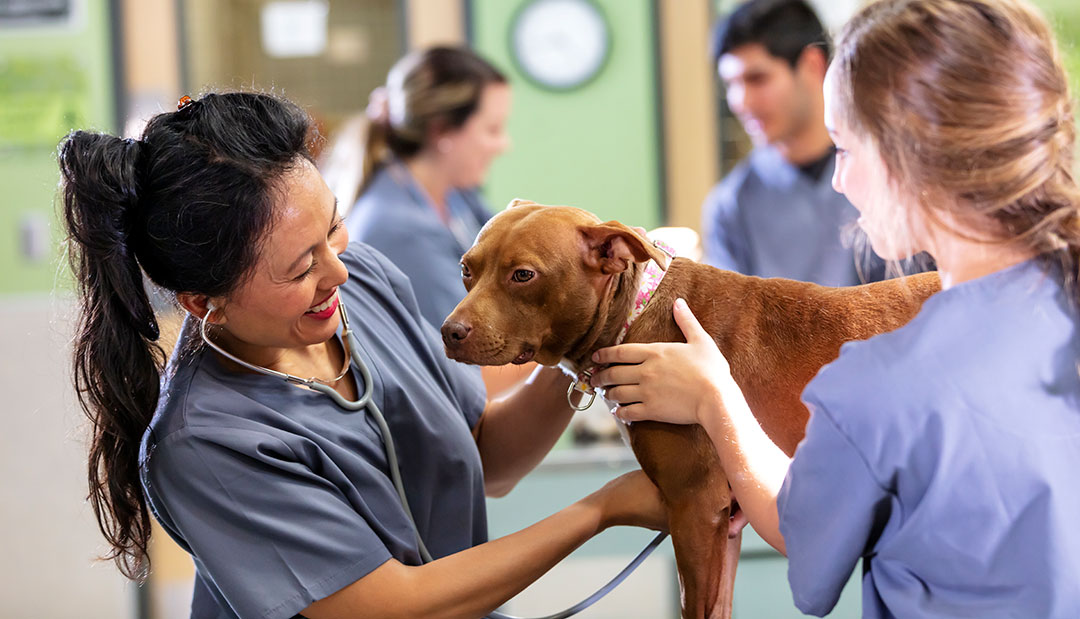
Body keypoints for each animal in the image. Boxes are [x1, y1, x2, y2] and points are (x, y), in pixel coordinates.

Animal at [438, 202, 937, 617]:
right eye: (466, 269)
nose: (449, 332)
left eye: (523, 276)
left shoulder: (696, 507)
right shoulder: (724, 522)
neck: (637, 318)